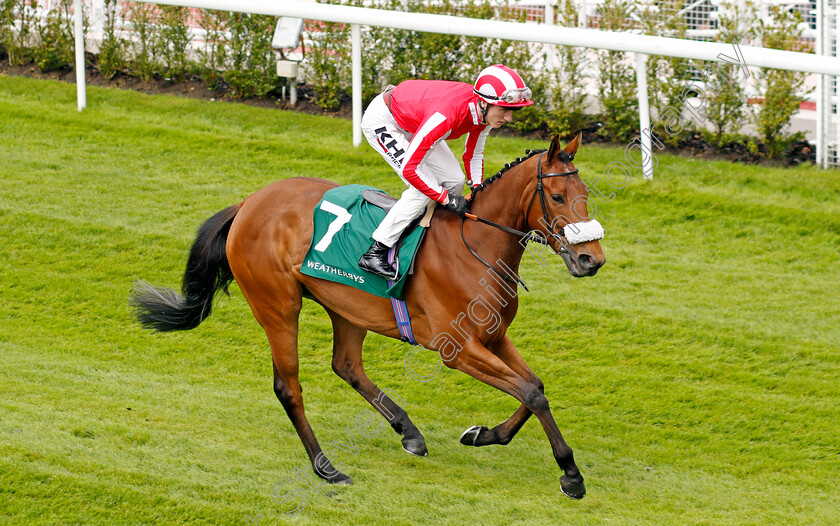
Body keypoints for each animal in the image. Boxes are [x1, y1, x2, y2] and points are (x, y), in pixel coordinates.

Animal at [130, 133, 604, 504]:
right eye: (557, 197)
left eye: (586, 194)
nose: (591, 260)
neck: (475, 246)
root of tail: (248, 202)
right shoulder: (458, 349)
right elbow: (532, 393)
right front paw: (570, 474)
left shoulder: (493, 336)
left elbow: (533, 387)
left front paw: (484, 434)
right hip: (278, 305)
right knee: (289, 387)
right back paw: (327, 467)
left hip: (345, 307)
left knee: (347, 365)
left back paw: (408, 431)